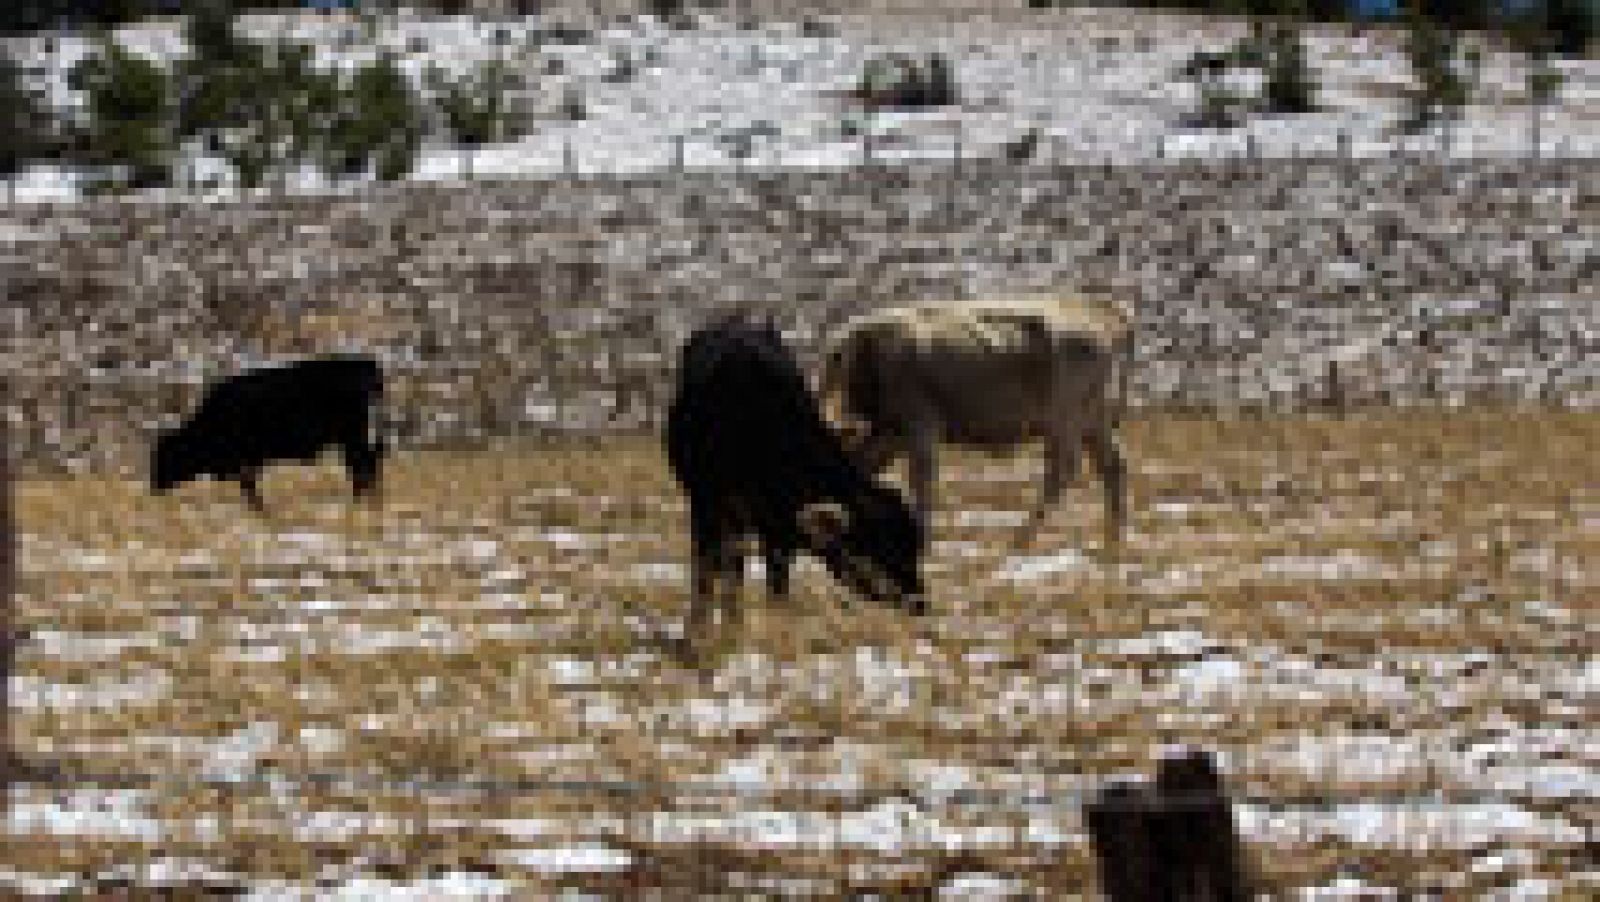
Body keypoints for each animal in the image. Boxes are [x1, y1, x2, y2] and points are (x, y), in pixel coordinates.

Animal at [150, 353, 387, 511]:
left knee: (362, 463)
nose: (154, 488)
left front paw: (260, 509)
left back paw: (359, 500)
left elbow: (249, 485)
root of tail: (365, 364)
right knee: (368, 461)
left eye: (165, 459)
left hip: (352, 436)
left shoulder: (248, 460)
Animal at [662, 313, 928, 630]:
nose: (919, 602)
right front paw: (698, 629)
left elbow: (776, 582)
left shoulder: (779, 525)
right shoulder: (706, 502)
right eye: (881, 549)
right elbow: (704, 571)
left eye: (914, 548)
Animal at [819, 295, 1132, 550]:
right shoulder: (890, 433)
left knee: (1062, 470)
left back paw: (1021, 540)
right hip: (1092, 422)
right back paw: (1112, 539)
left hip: (1064, 422)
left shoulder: (919, 428)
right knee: (1112, 466)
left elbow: (921, 481)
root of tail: (1099, 313)